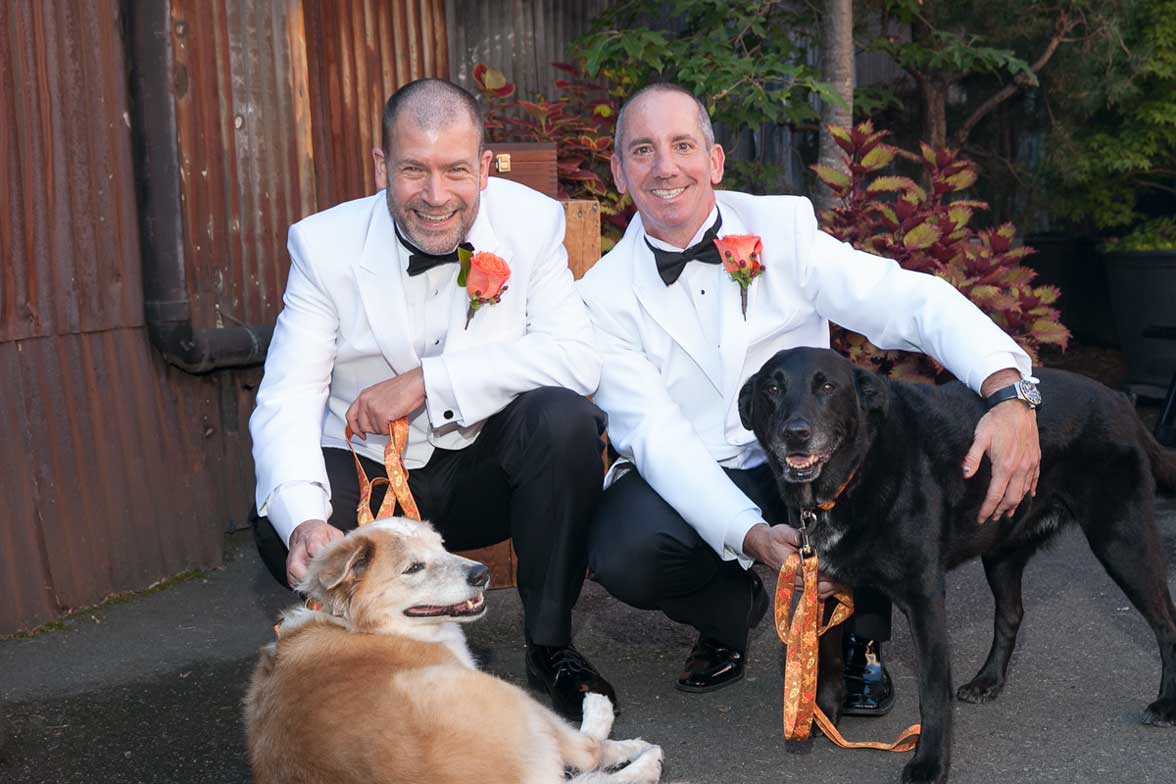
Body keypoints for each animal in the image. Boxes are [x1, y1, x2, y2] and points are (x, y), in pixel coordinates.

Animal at [243, 517, 667, 780]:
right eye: (413, 567)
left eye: (443, 546)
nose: (483, 573)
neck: (358, 626)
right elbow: (586, 751)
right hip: (501, 695)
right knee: (587, 752)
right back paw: (630, 742)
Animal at [738, 347, 1171, 784]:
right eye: (772, 388)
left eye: (827, 386)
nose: (796, 432)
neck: (854, 475)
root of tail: (1119, 401)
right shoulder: (826, 580)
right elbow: (825, 656)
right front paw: (821, 716)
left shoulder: (924, 596)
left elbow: (932, 688)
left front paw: (929, 763)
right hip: (1002, 550)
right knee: (1011, 614)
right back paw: (987, 681)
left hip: (1122, 542)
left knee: (1166, 621)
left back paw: (1165, 704)